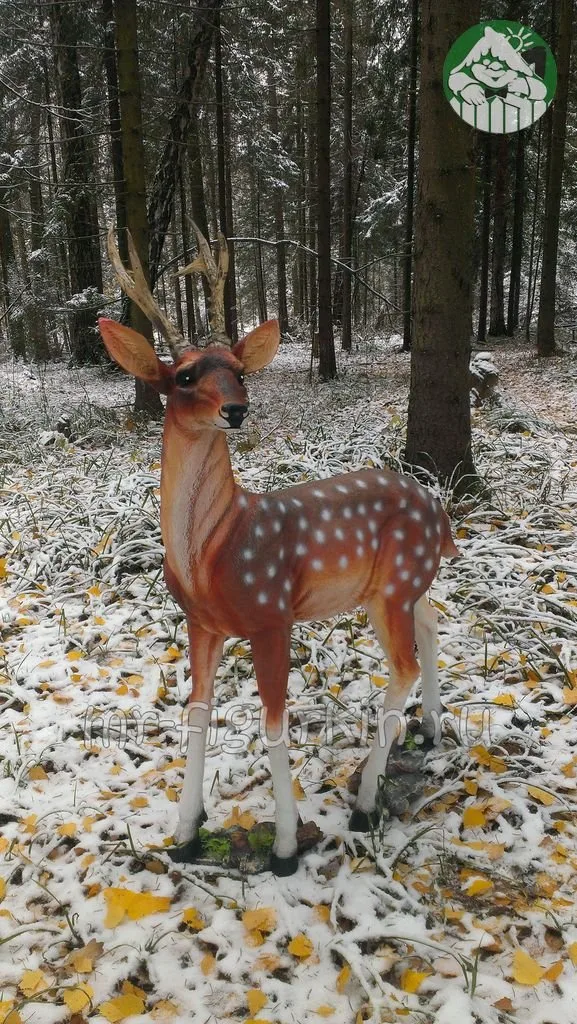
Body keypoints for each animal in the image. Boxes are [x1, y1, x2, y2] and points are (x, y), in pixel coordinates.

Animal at [98, 225, 459, 876]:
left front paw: (286, 848)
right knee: (432, 626)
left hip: (392, 586)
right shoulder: (201, 623)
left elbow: (272, 724)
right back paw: (430, 733)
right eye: (183, 376)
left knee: (402, 666)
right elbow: (196, 714)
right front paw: (184, 835)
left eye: (242, 371)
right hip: (403, 583)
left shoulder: (271, 616)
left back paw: (364, 804)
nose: (236, 409)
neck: (214, 553)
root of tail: (439, 511)